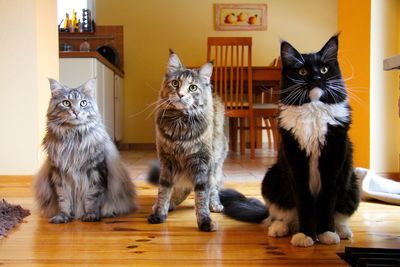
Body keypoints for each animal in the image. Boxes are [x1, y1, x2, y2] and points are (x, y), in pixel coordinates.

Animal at [33, 79, 136, 224]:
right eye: (66, 103)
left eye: (83, 103)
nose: (76, 112)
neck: (73, 140)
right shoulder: (59, 175)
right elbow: (63, 199)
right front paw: (63, 216)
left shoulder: (96, 171)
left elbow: (92, 198)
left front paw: (91, 215)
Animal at [148, 50, 228, 232]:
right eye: (175, 83)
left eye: (193, 87)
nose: (181, 94)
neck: (180, 125)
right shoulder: (167, 161)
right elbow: (164, 190)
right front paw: (160, 213)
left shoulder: (201, 162)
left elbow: (201, 195)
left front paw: (205, 221)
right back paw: (169, 204)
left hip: (215, 164)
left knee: (213, 187)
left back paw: (215, 205)